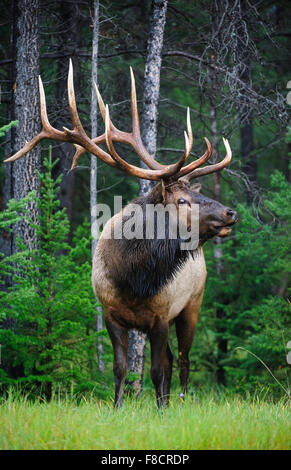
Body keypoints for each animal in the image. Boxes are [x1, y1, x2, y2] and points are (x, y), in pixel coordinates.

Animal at [5, 60, 238, 408]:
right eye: (182, 200)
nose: (230, 213)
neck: (132, 278)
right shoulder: (111, 314)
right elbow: (120, 368)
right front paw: (117, 408)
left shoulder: (160, 316)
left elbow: (155, 370)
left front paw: (160, 411)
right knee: (174, 359)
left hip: (192, 304)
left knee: (183, 360)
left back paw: (178, 402)